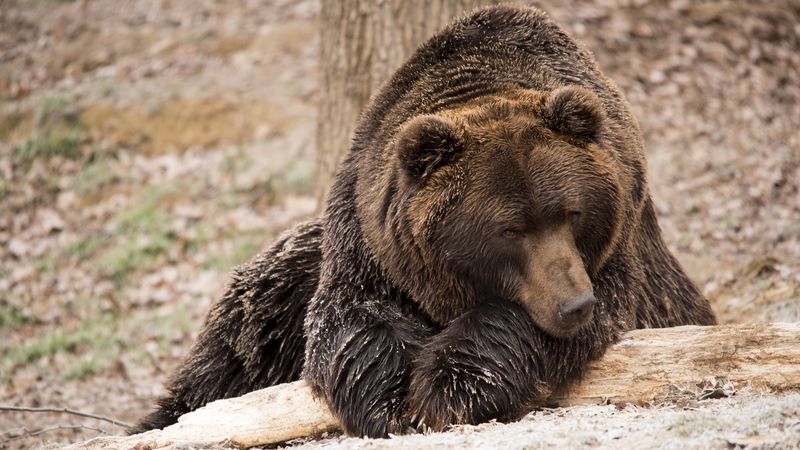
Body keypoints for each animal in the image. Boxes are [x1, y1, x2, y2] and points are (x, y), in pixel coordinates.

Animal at [133, 4, 716, 438]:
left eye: (572, 213)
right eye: (509, 229)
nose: (573, 304)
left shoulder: (617, 255)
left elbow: (531, 322)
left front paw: (446, 385)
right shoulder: (368, 238)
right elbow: (350, 320)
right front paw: (393, 399)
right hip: (288, 277)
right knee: (242, 337)